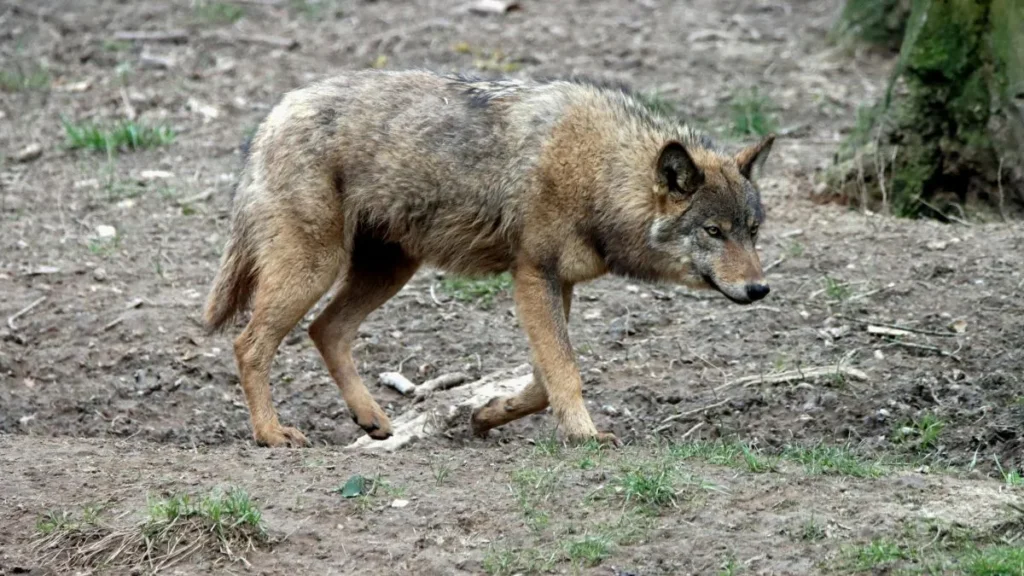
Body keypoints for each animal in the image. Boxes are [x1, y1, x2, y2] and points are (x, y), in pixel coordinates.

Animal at [204, 69, 774, 448]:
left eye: (752, 232)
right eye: (713, 232)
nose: (759, 289)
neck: (599, 173)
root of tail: (274, 114)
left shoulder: (558, 283)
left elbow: (544, 380)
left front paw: (487, 414)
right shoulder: (533, 276)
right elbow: (565, 371)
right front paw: (586, 437)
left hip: (390, 270)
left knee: (326, 330)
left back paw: (372, 420)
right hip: (316, 269)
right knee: (249, 344)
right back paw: (271, 434)